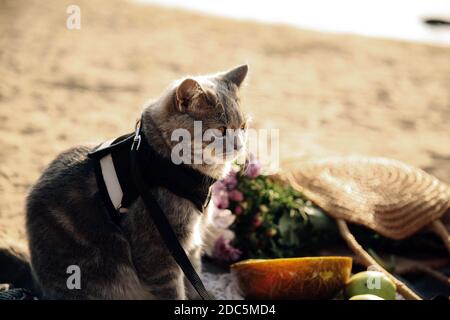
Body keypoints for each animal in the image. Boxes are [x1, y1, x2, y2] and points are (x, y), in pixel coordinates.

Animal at [25, 65, 250, 300]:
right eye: (221, 130)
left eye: (243, 126)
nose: (240, 145)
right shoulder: (159, 251)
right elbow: (174, 290)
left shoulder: (191, 247)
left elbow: (194, 279)